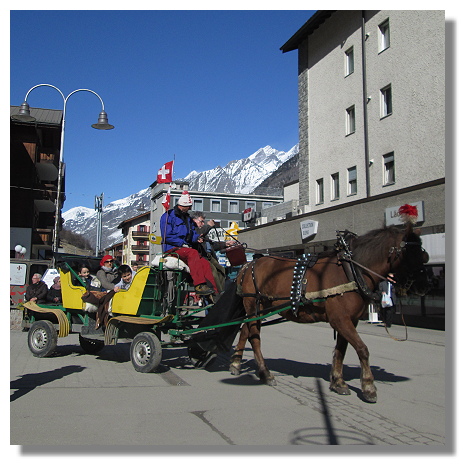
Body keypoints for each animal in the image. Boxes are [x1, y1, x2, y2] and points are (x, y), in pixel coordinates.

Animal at [231, 222, 430, 402]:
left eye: (423, 254)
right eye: (410, 254)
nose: (424, 286)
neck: (352, 271)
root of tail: (247, 266)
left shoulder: (349, 320)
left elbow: (341, 349)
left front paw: (338, 382)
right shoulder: (340, 319)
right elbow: (362, 349)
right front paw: (368, 387)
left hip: (257, 309)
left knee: (245, 331)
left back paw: (235, 363)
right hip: (254, 307)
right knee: (254, 338)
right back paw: (265, 373)